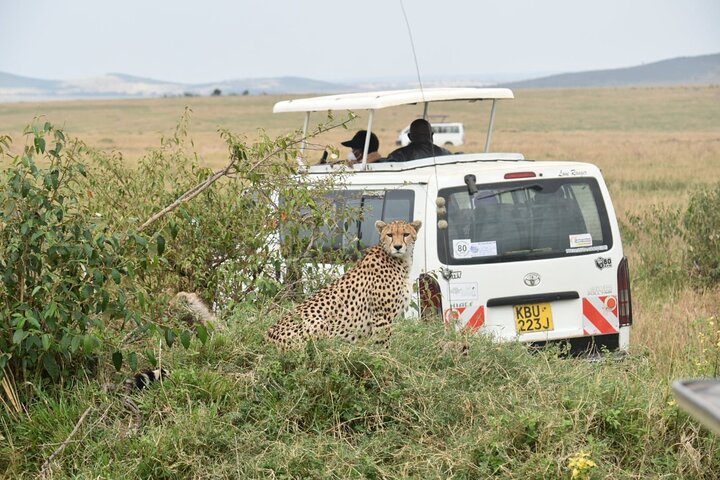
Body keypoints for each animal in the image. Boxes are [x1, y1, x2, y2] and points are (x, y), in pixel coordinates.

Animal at [264, 218, 422, 348]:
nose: (397, 247)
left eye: (406, 234)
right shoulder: (381, 317)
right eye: (390, 235)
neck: (400, 261)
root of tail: (268, 336)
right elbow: (383, 344)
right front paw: (383, 357)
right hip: (319, 323)